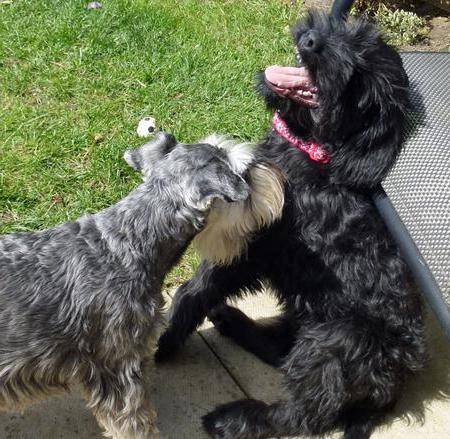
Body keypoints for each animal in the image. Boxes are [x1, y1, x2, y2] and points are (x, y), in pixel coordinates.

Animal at [156, 11, 426, 439]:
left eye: (359, 72)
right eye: (350, 31)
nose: (312, 39)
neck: (312, 151)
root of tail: (392, 387)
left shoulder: (255, 244)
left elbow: (199, 285)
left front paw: (166, 340)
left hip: (340, 340)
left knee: (301, 413)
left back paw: (233, 418)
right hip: (307, 314)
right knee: (283, 353)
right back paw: (234, 322)